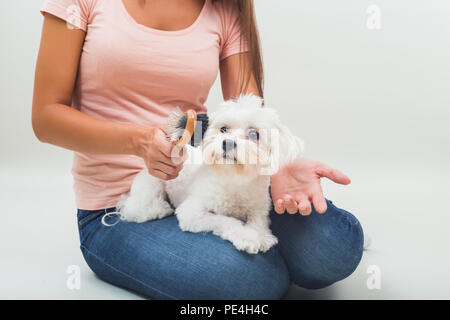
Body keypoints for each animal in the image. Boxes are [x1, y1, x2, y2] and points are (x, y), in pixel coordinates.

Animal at [118, 94, 304, 254]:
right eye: (223, 129)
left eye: (254, 134)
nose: (227, 143)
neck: (235, 181)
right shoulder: (192, 213)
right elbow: (225, 221)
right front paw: (246, 236)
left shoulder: (259, 208)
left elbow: (259, 221)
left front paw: (262, 235)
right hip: (154, 183)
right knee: (133, 208)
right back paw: (158, 209)